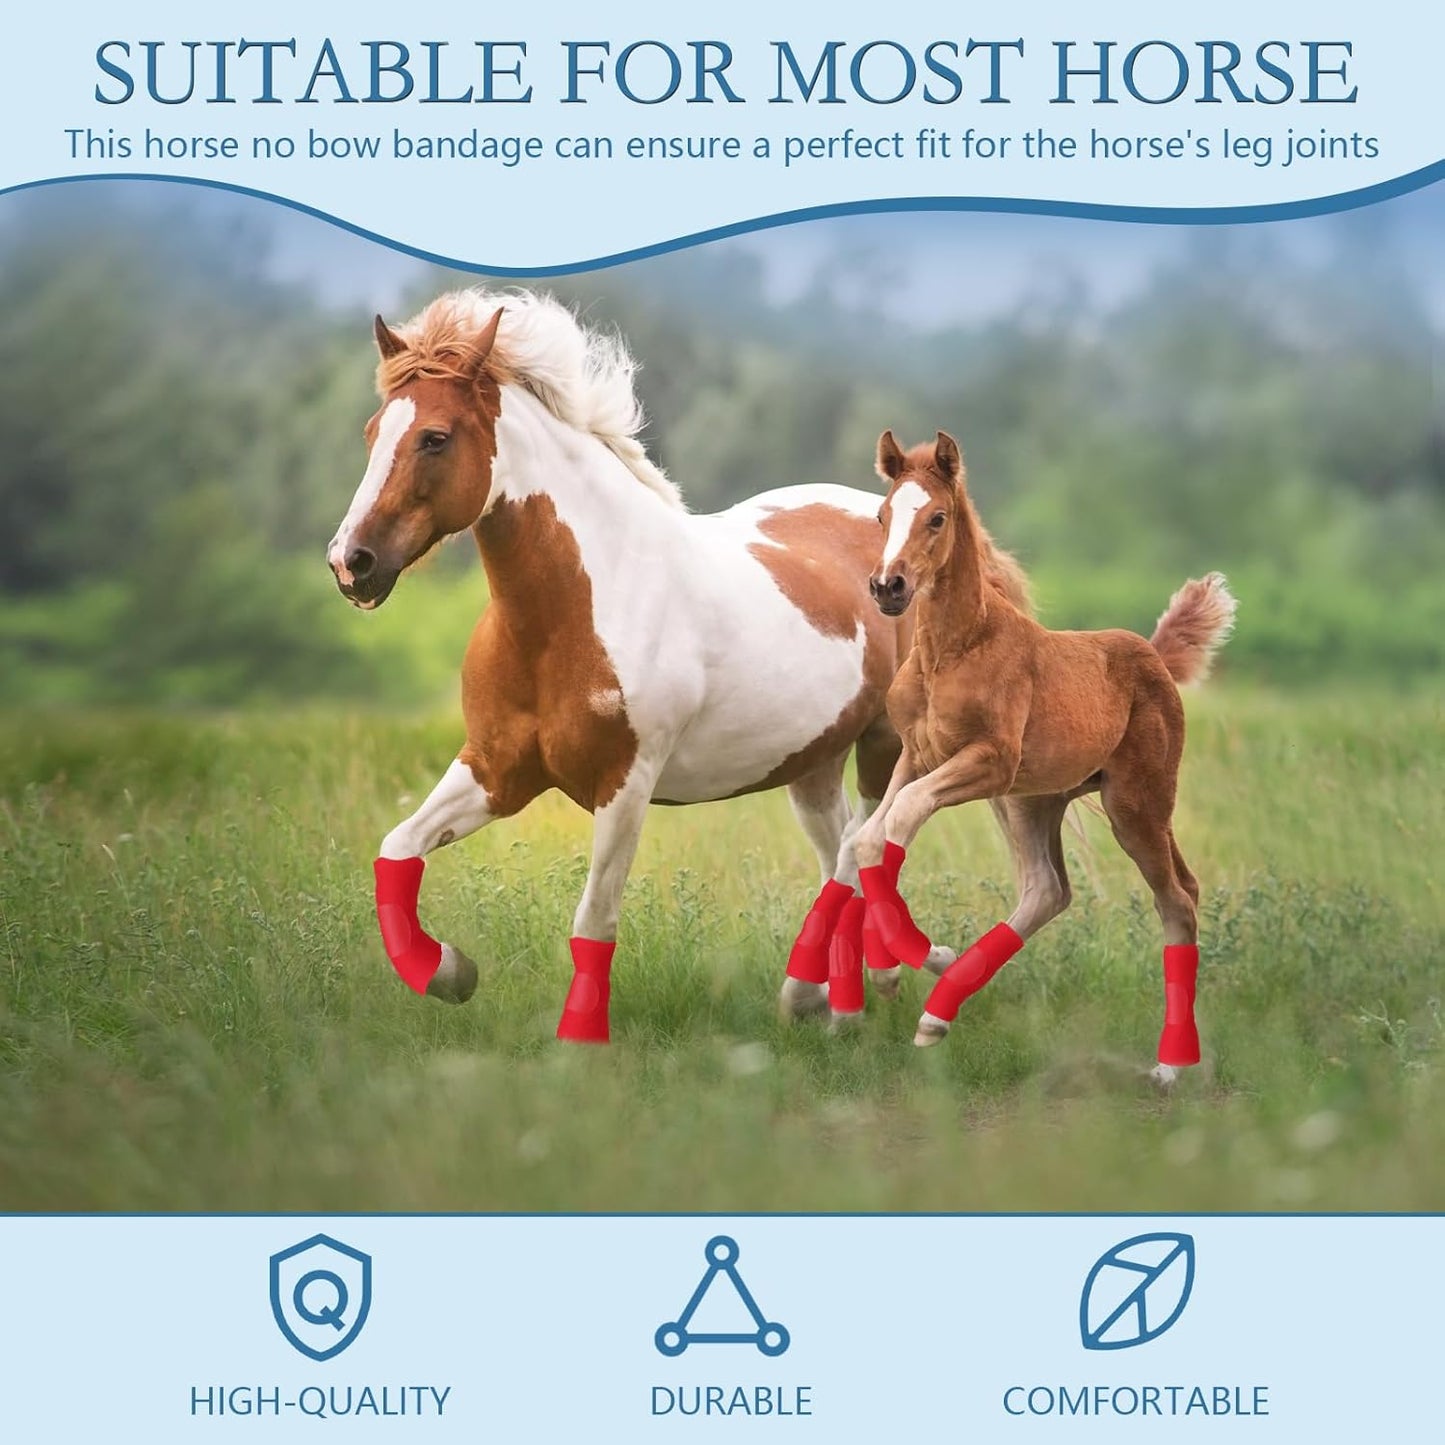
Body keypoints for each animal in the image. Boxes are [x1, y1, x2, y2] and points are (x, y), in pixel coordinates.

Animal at [325, 290, 1034, 1040]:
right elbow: (396, 849)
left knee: (860, 848)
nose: (351, 563)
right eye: (373, 431)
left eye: (435, 437)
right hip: (811, 762)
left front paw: (579, 1040)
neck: (574, 610)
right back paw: (848, 990)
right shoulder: (495, 769)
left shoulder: (624, 785)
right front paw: (451, 971)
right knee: (839, 849)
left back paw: (840, 987)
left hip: (884, 746)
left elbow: (594, 920)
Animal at [846, 429, 1235, 1082]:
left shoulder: (988, 760)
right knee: (1049, 890)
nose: (887, 588)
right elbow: (872, 835)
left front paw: (918, 955)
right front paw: (894, 970)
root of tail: (1153, 657)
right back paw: (937, 1016)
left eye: (937, 518)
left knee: (1177, 900)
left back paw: (1170, 1067)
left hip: (1135, 804)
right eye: (881, 516)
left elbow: (900, 818)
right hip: (1035, 801)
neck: (951, 651)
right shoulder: (917, 756)